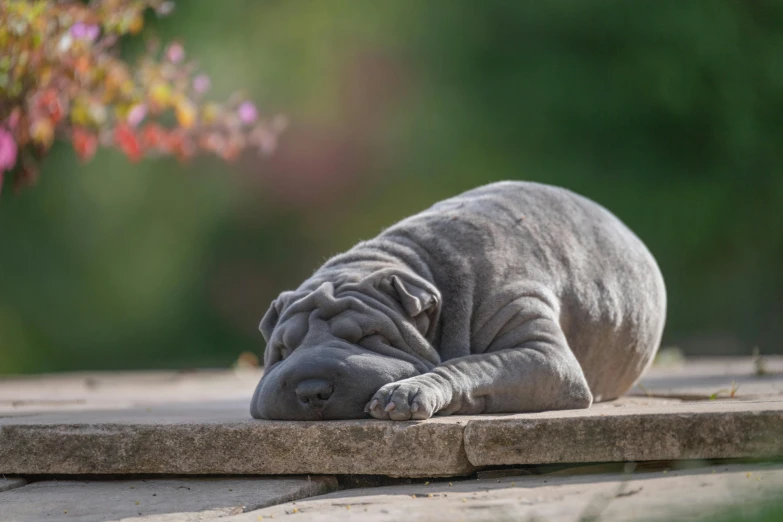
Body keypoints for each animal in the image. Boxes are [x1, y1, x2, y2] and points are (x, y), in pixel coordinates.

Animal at [251, 181, 668, 420]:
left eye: (369, 337)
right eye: (283, 350)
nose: (310, 389)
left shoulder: (545, 354)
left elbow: (472, 364)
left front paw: (408, 391)